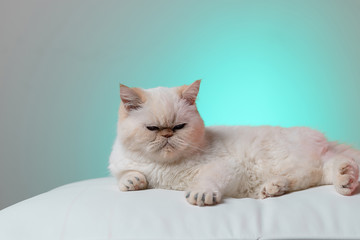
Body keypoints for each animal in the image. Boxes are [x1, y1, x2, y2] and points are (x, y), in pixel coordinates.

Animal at [109, 80, 360, 206]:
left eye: (179, 127)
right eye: (153, 129)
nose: (167, 135)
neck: (163, 166)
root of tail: (323, 139)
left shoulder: (225, 167)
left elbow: (207, 180)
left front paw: (200, 194)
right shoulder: (121, 164)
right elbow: (124, 175)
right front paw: (133, 181)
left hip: (284, 159)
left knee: (318, 169)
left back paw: (342, 179)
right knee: (321, 170)